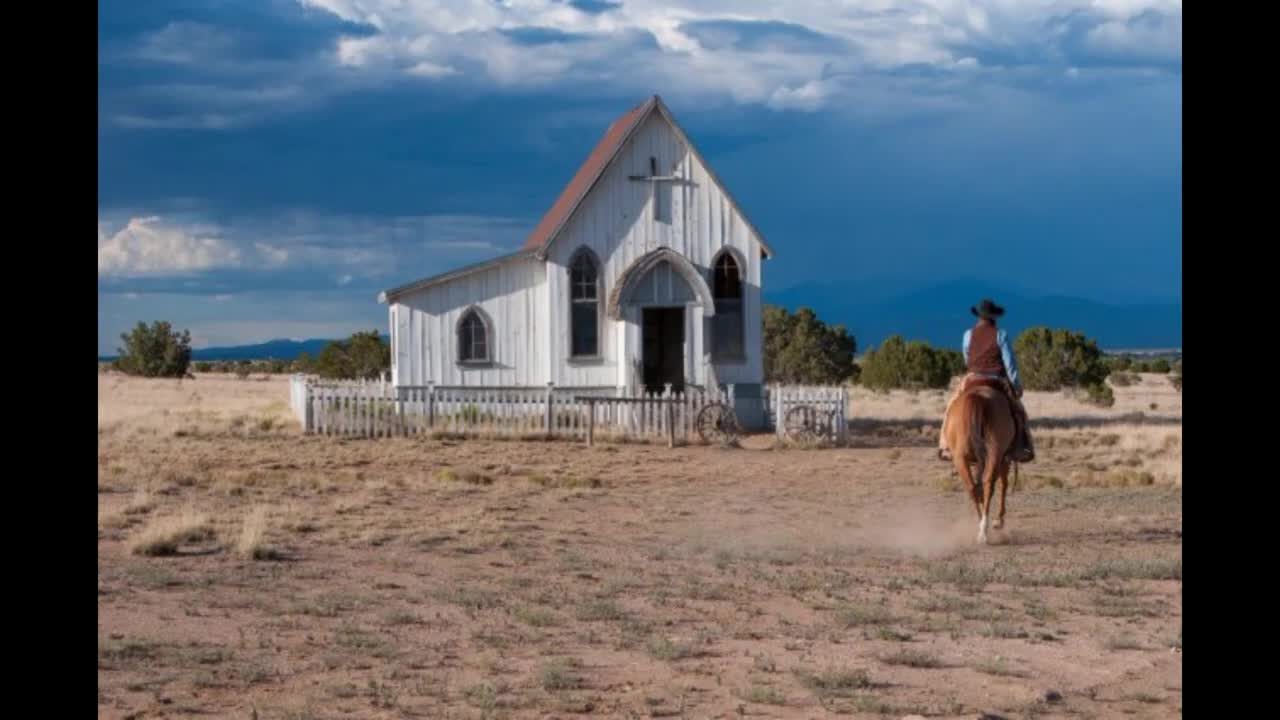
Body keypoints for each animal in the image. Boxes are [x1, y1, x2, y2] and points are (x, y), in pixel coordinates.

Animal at [942, 384, 1018, 540]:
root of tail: (978, 397)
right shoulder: (1004, 458)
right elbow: (1004, 484)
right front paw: (999, 521)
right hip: (995, 454)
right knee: (988, 484)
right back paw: (984, 527)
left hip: (962, 459)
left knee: (974, 487)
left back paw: (982, 529)